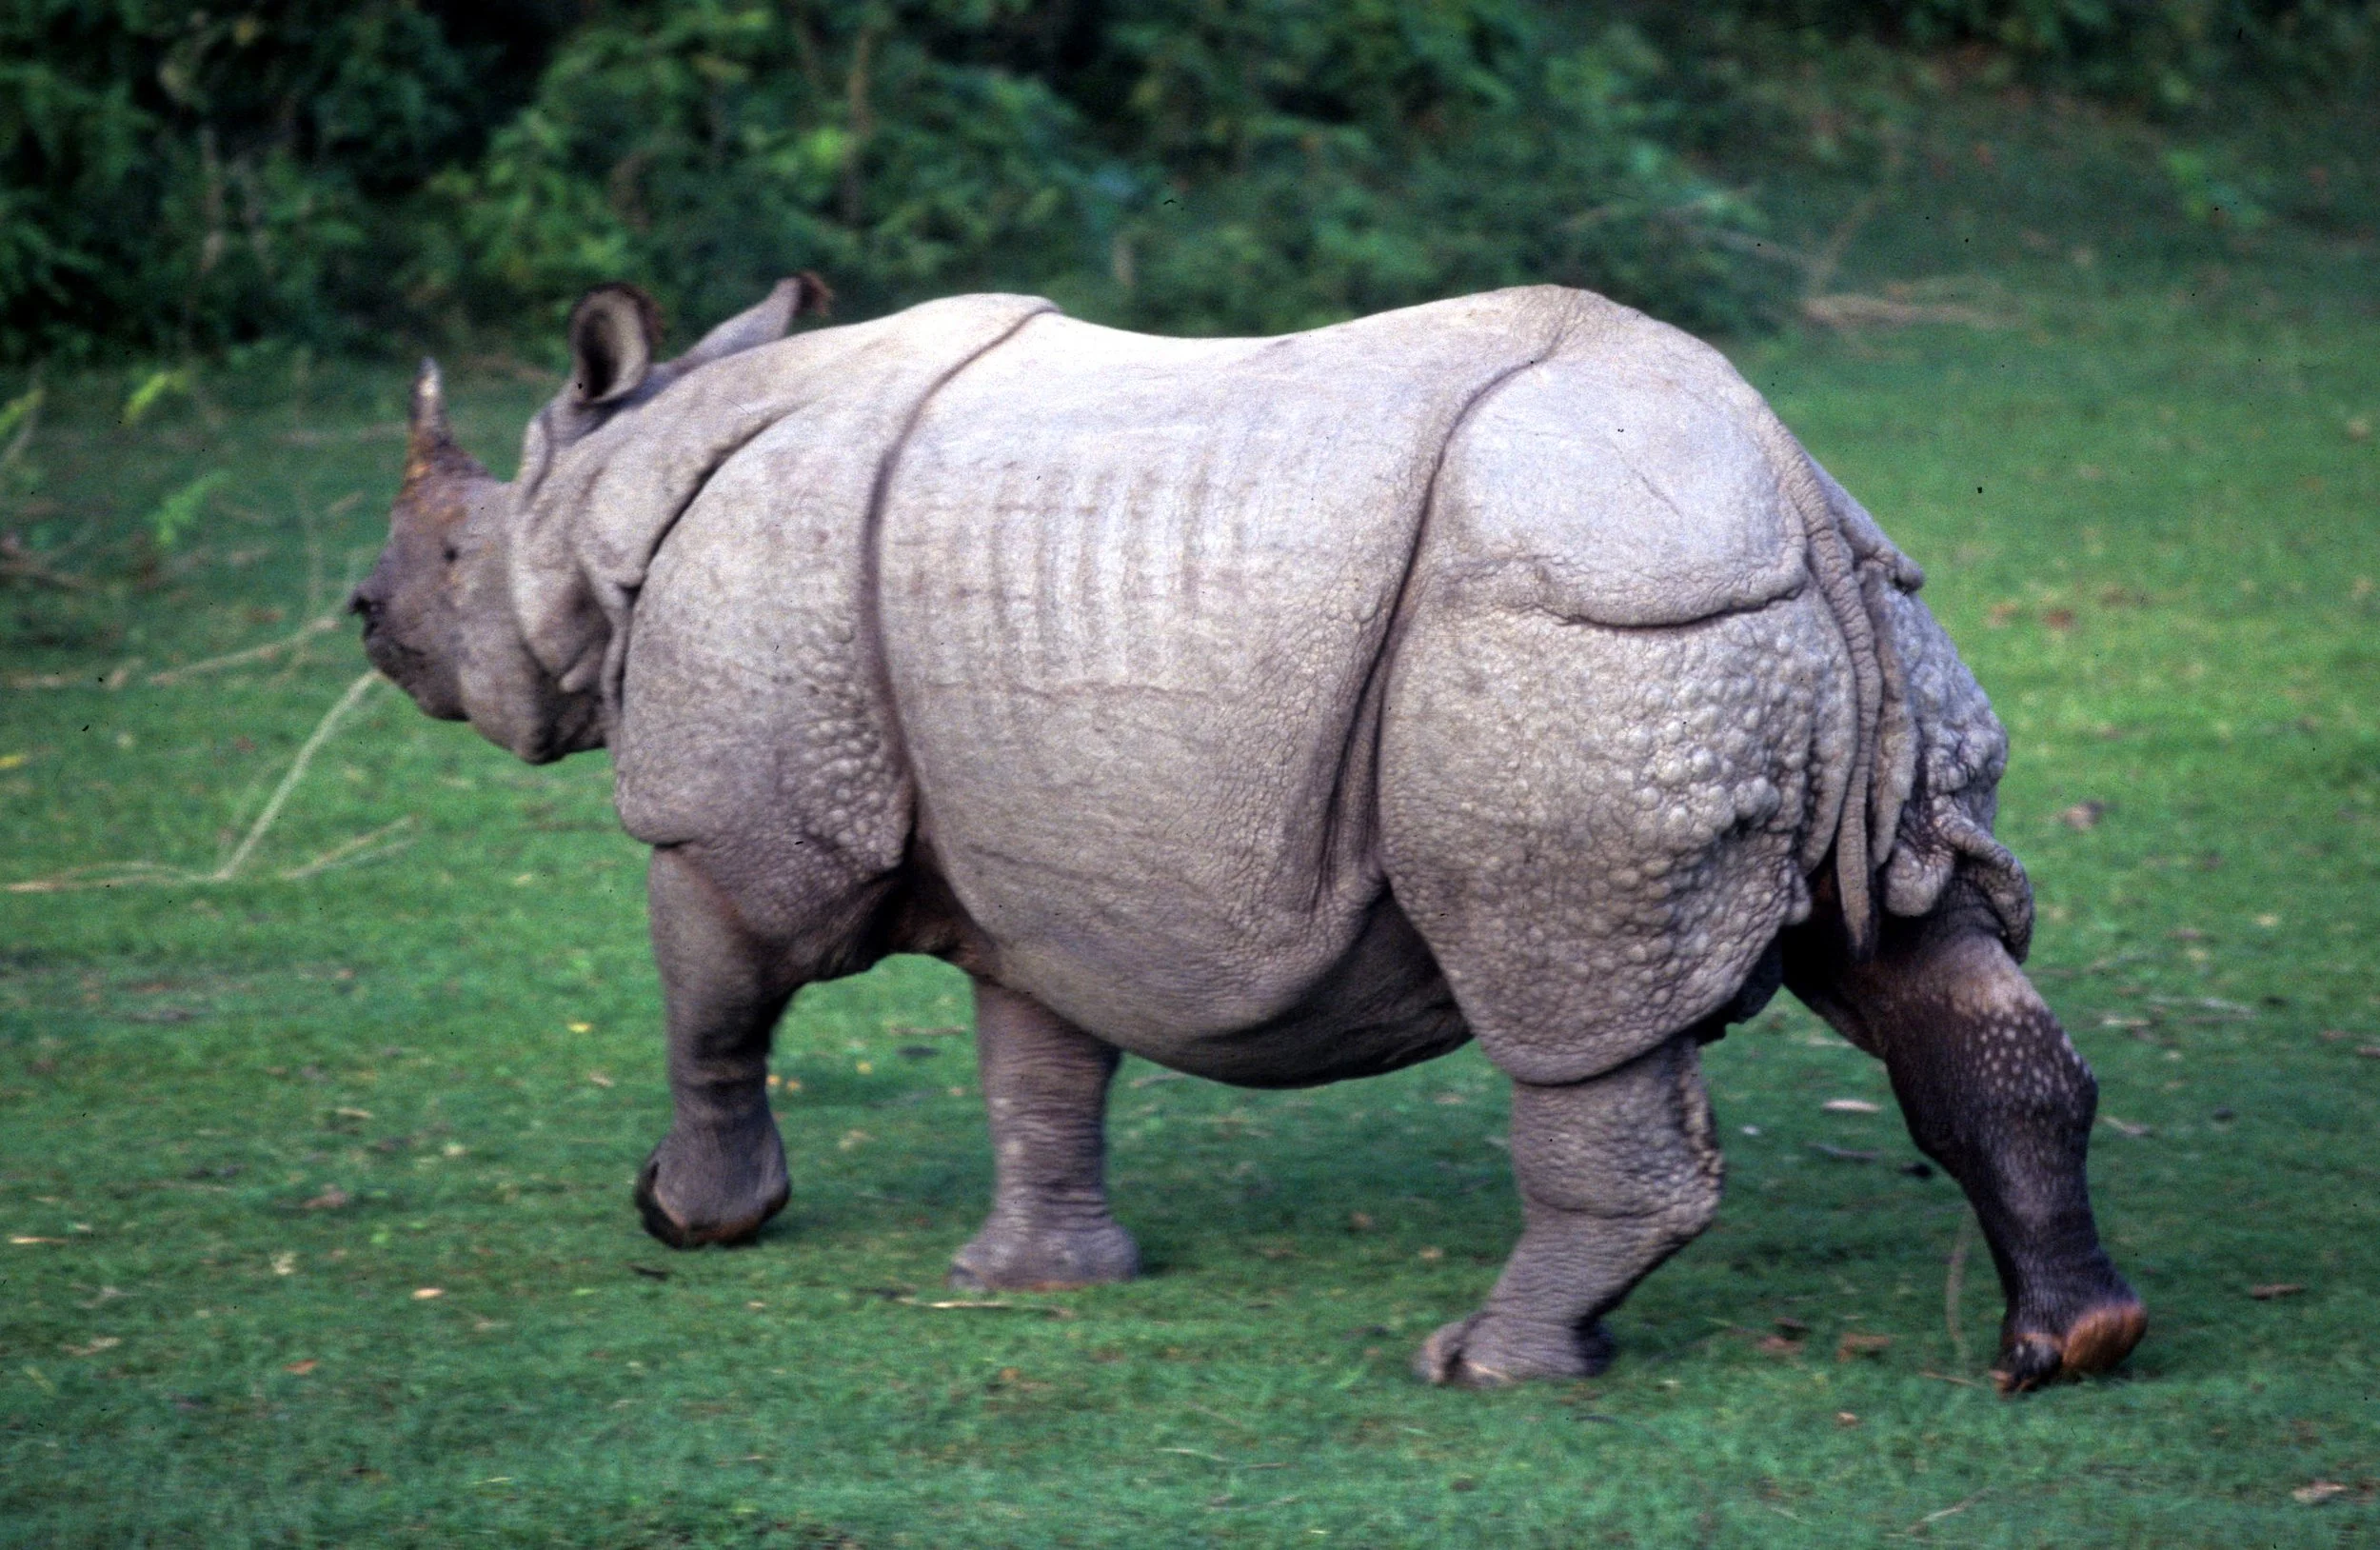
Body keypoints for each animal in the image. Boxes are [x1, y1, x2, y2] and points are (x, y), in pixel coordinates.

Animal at [354, 276, 2145, 1391]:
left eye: (448, 553)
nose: (365, 613)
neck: (610, 491)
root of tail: (1783, 484)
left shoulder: (740, 813)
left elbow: (714, 1000)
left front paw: (693, 1218)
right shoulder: (1040, 848)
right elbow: (1037, 1058)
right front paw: (1032, 1281)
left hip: (1581, 633)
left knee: (1562, 998)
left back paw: (1486, 1366)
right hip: (1841, 625)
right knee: (1922, 944)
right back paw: (2071, 1347)